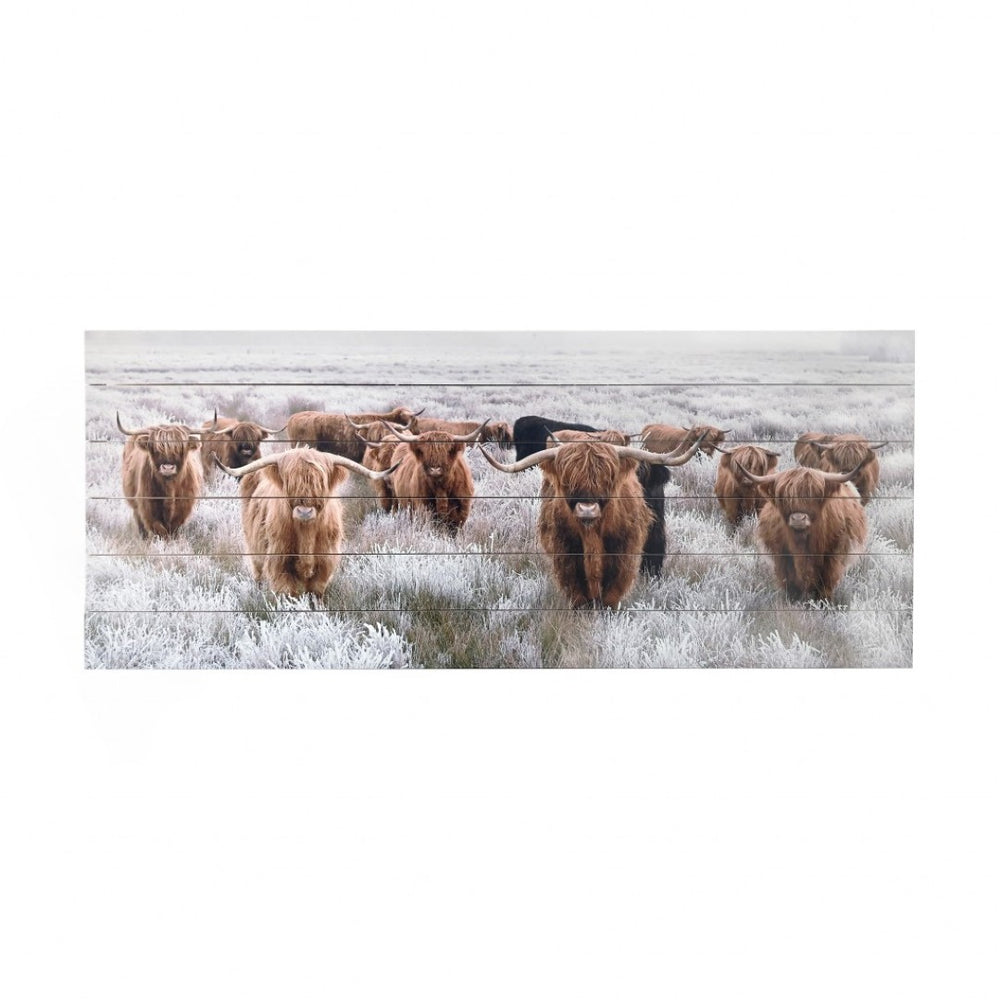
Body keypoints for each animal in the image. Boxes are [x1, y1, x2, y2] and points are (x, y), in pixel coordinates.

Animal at [213, 448, 398, 597]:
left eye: (320, 482)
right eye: (289, 482)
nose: (304, 511)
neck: (306, 534)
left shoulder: (325, 563)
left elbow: (315, 594)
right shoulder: (279, 563)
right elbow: (288, 594)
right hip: (254, 550)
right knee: (258, 573)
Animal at [479, 433, 707, 608]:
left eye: (608, 479)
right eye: (567, 481)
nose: (587, 509)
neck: (592, 535)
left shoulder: (624, 553)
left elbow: (612, 593)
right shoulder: (565, 553)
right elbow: (577, 593)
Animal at [733, 460, 868, 600]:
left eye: (815, 496)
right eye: (783, 498)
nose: (798, 519)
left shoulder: (833, 555)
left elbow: (826, 584)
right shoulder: (781, 556)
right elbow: (790, 583)